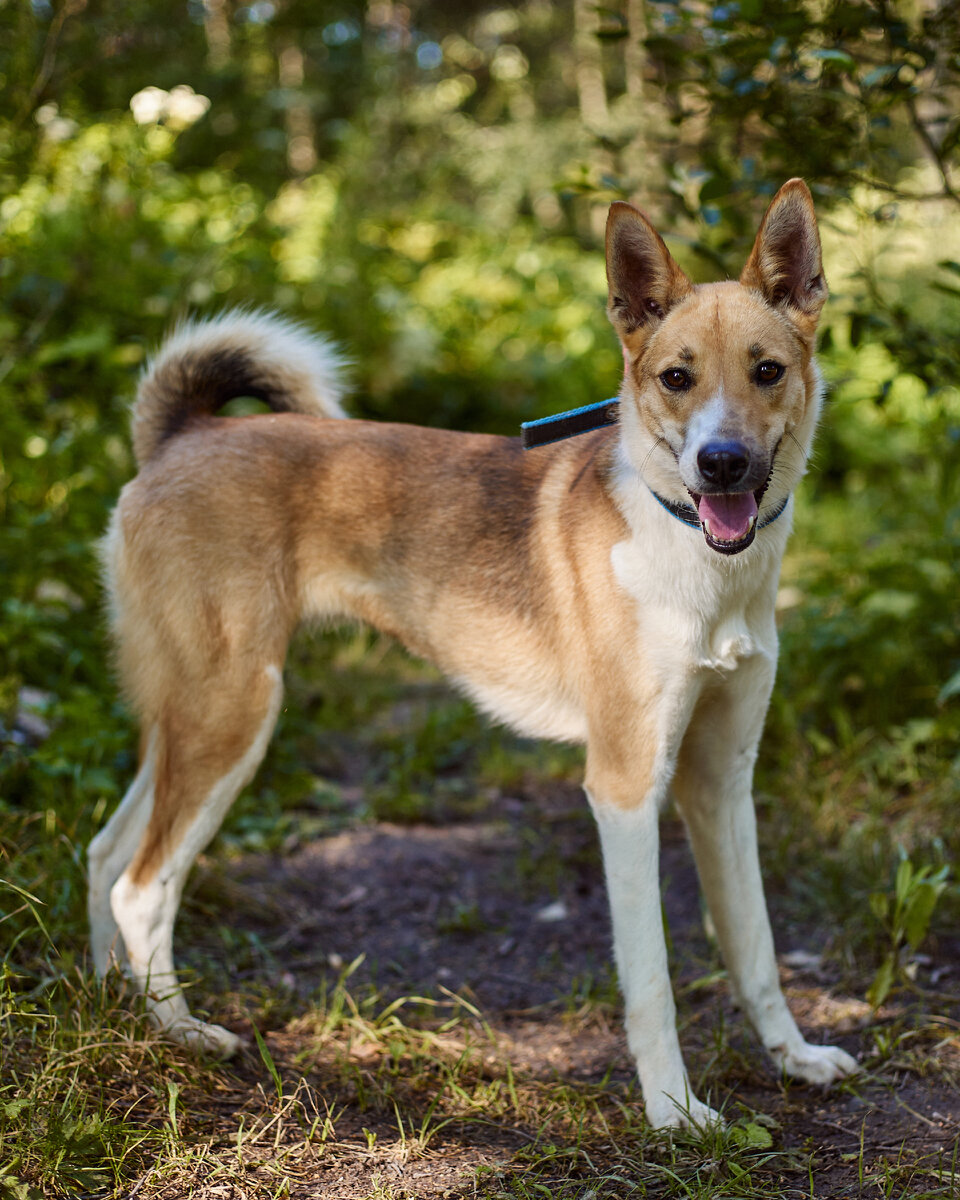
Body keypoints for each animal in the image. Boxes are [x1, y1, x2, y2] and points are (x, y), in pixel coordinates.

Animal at [90, 175, 854, 1123]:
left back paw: (107, 1011)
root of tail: (183, 433)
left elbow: (755, 947)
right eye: (676, 378)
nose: (722, 464)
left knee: (106, 857)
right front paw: (675, 1113)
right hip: (231, 715)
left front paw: (793, 1058)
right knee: (141, 886)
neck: (697, 557)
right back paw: (182, 1035)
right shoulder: (625, 789)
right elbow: (653, 982)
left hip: (188, 721)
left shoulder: (721, 779)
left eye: (767, 371)